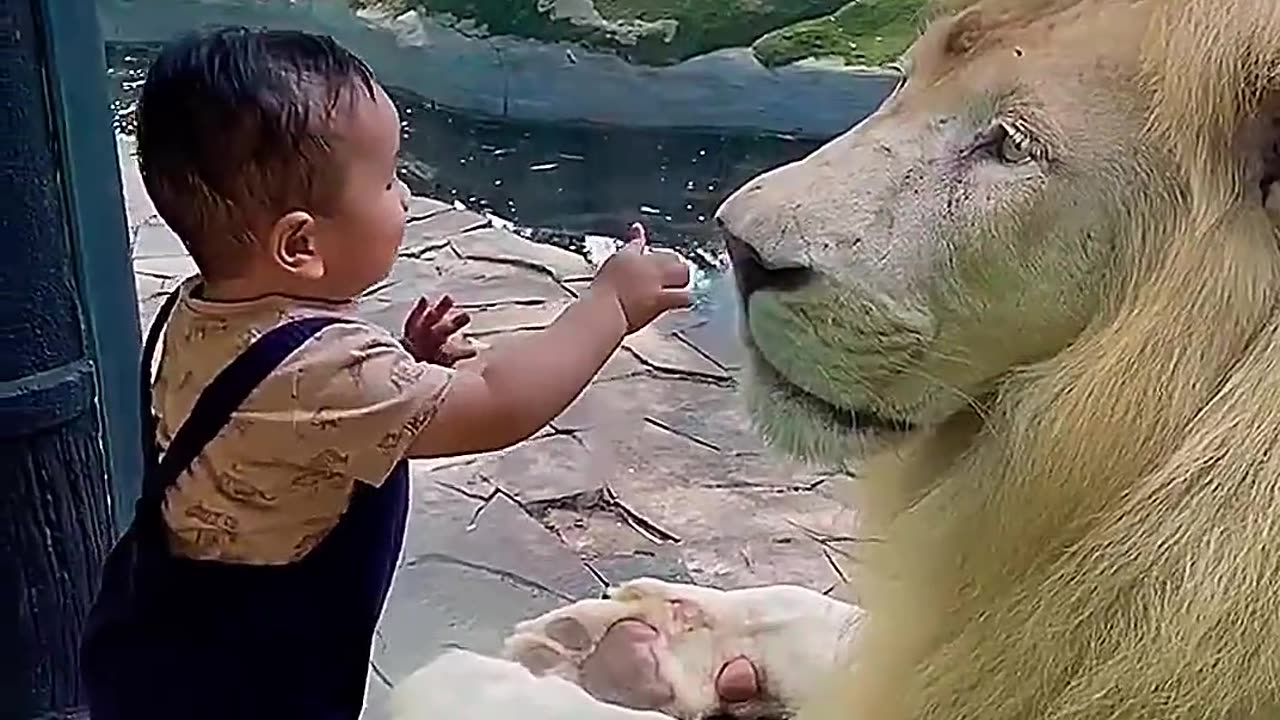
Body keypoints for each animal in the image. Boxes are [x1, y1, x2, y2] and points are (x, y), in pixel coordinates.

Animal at [384, 0, 1280, 712]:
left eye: (1009, 145)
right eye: (908, 78)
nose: (739, 251)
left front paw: (498, 676)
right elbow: (836, 615)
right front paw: (632, 633)